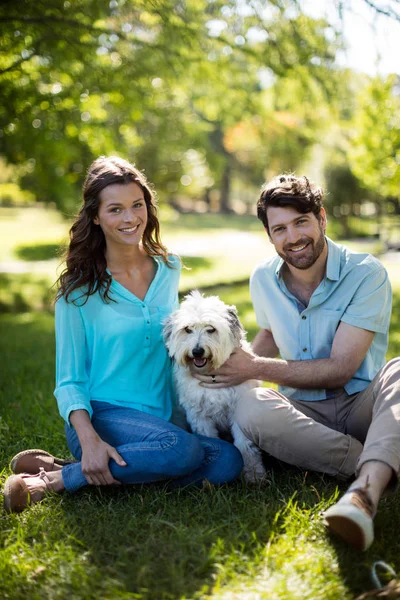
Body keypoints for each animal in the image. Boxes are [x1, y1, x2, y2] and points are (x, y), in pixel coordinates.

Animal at [164, 290, 268, 482]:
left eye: (210, 329)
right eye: (187, 329)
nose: (197, 351)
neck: (211, 373)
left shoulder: (237, 411)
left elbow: (245, 446)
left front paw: (253, 474)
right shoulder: (199, 416)